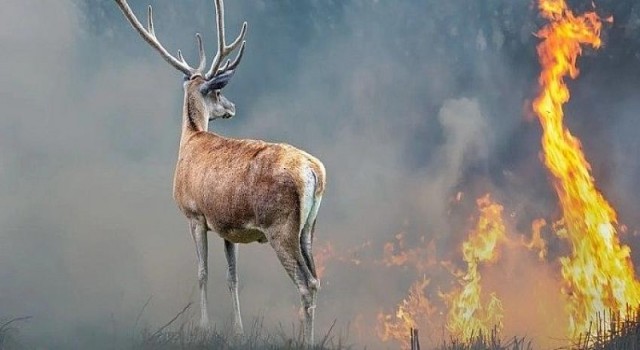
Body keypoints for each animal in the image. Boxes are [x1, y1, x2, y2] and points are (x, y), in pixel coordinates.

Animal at [113, 0, 328, 344]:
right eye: (215, 93)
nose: (232, 107)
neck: (190, 139)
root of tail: (313, 171)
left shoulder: (194, 214)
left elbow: (202, 272)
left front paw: (203, 327)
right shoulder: (228, 226)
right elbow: (232, 277)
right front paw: (238, 330)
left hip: (281, 226)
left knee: (306, 283)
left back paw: (306, 341)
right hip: (309, 227)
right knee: (317, 279)